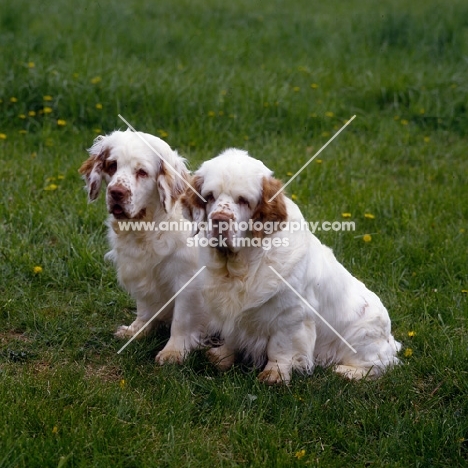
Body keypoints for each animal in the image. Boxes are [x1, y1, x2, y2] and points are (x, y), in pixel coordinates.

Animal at [79, 130, 206, 364]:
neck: (147, 228)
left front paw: (173, 351)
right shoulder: (140, 270)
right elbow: (145, 308)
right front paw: (135, 330)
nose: (116, 192)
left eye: (142, 172)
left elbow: (181, 319)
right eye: (112, 166)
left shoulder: (188, 280)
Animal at [181, 149, 400, 384]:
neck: (239, 267)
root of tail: (390, 339)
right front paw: (222, 357)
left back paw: (346, 371)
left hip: (360, 335)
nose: (219, 219)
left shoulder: (290, 316)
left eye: (244, 201)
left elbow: (281, 347)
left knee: (378, 366)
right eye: (209, 196)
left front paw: (275, 374)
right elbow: (231, 335)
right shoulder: (230, 308)